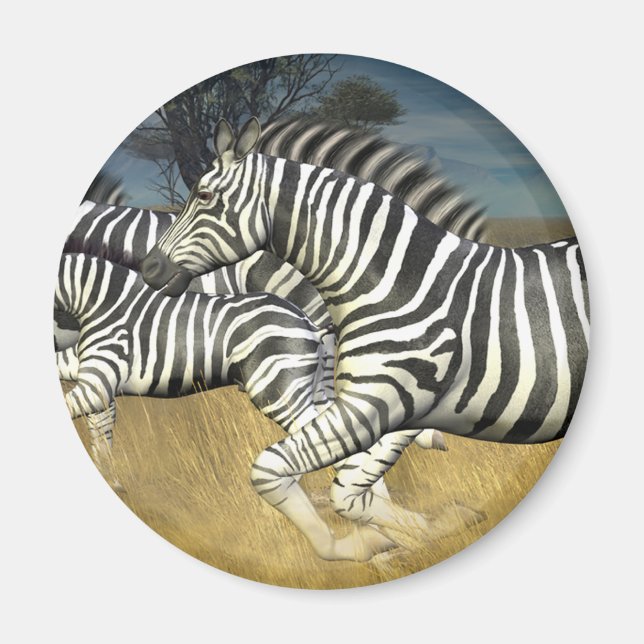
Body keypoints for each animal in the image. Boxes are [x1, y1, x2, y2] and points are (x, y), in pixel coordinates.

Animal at [140, 117, 590, 561]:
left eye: (204, 196)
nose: (147, 267)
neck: (402, 285)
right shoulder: (390, 410)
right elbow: (348, 489)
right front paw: (415, 534)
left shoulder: (381, 402)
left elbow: (293, 478)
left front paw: (411, 537)